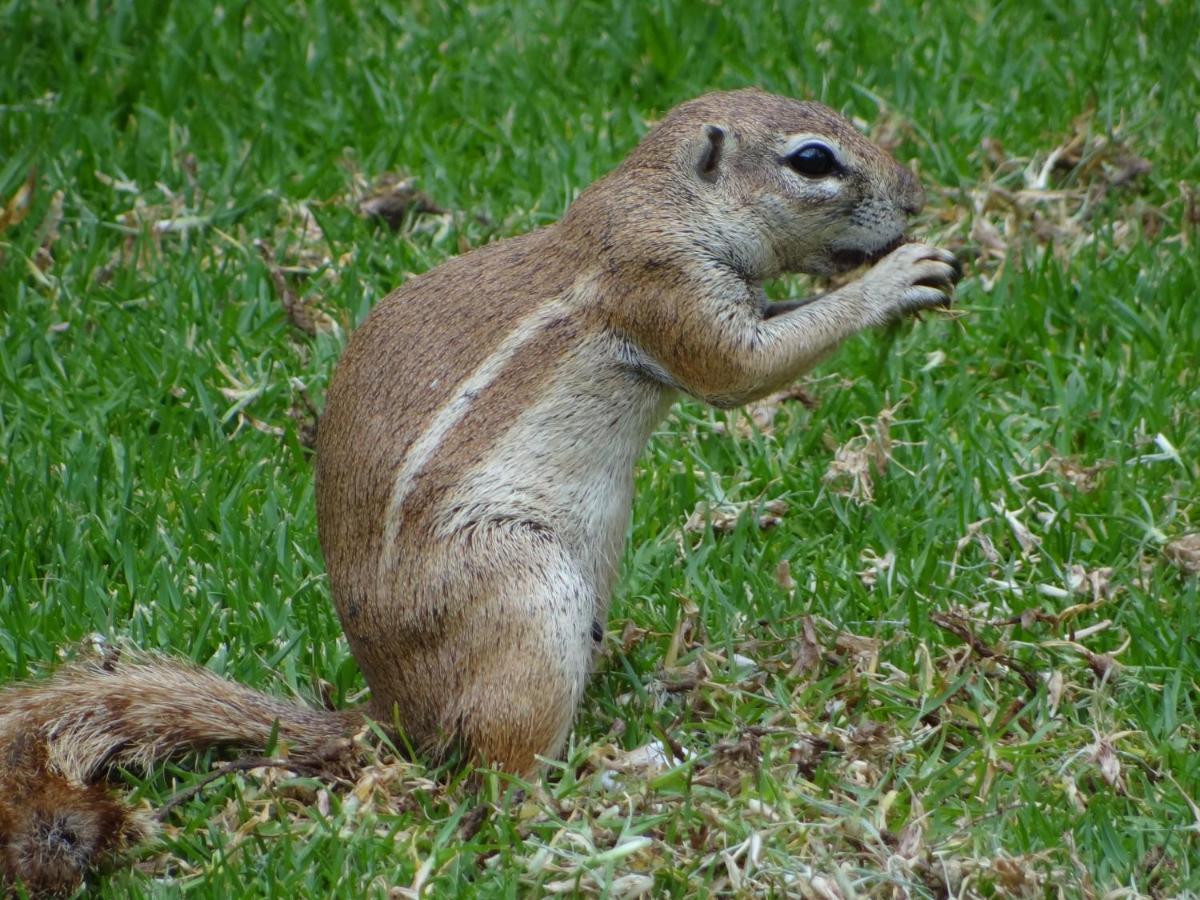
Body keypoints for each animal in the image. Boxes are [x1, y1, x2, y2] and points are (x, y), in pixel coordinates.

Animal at [0, 91, 955, 897]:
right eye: (812, 159)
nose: (915, 198)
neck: (664, 203)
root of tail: (395, 717)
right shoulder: (665, 289)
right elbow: (743, 370)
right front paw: (896, 280)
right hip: (524, 591)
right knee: (501, 776)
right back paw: (613, 778)